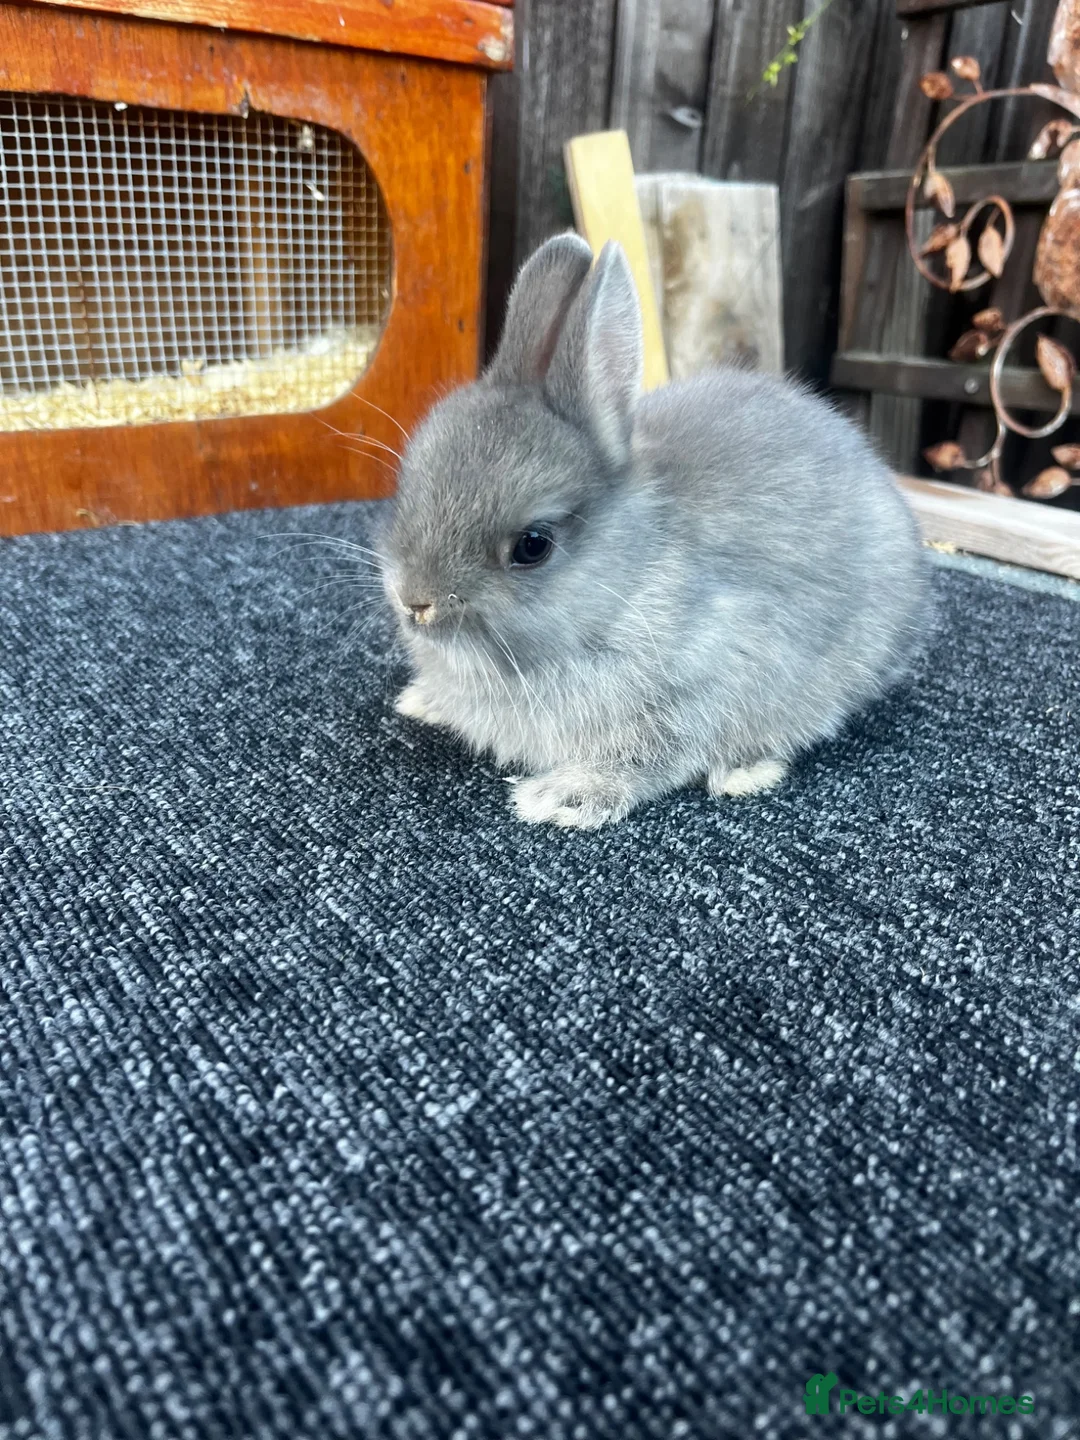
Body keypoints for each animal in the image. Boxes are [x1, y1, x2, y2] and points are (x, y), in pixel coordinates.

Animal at [378, 233, 926, 829]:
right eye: (408, 486)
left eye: (532, 546)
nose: (415, 601)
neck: (623, 586)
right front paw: (422, 700)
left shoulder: (707, 682)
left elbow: (651, 753)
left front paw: (559, 797)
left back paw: (744, 771)